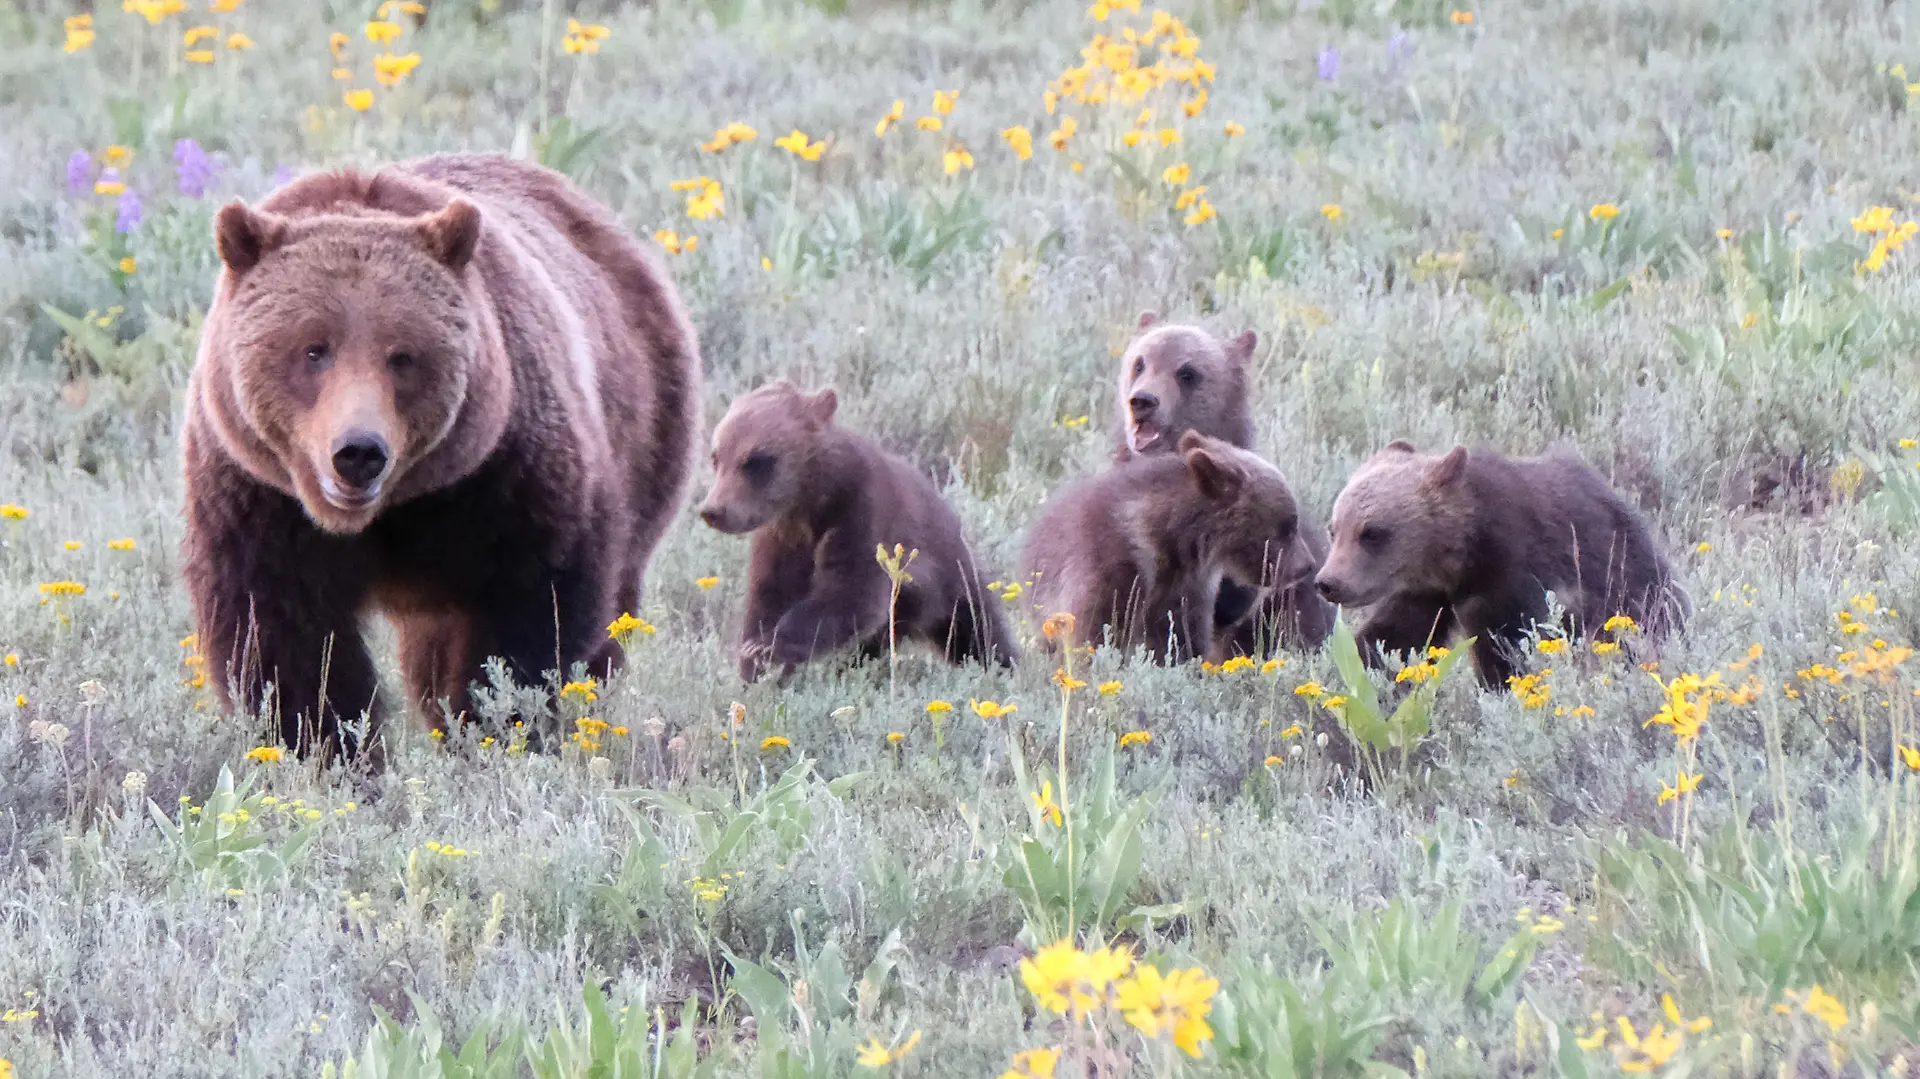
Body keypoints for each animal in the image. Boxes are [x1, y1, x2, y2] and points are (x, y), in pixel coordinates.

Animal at [182, 153, 702, 760]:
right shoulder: (257, 494)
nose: (358, 452)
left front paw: (495, 728)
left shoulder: (502, 477)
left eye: (402, 355)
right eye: (313, 349)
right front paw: (329, 749)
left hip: (647, 435)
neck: (389, 514)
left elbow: (531, 616)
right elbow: (281, 637)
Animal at [697, 381, 1017, 680]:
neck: (809, 503)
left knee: (977, 630)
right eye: (716, 456)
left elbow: (850, 592)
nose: (713, 510)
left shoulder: (861, 512)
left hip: (951, 576)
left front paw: (768, 647)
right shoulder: (781, 535)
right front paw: (753, 663)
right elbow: (769, 594)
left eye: (756, 459)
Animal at [1024, 431, 1315, 663]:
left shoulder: (1188, 588)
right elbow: (1096, 632)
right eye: (1289, 525)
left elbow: (1182, 639)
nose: (1307, 566)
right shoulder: (1109, 567)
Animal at [1314, 440, 1689, 687]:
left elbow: (1507, 650)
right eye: (1334, 529)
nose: (1328, 582)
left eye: (1372, 532)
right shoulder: (1427, 593)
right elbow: (1394, 636)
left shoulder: (1513, 576)